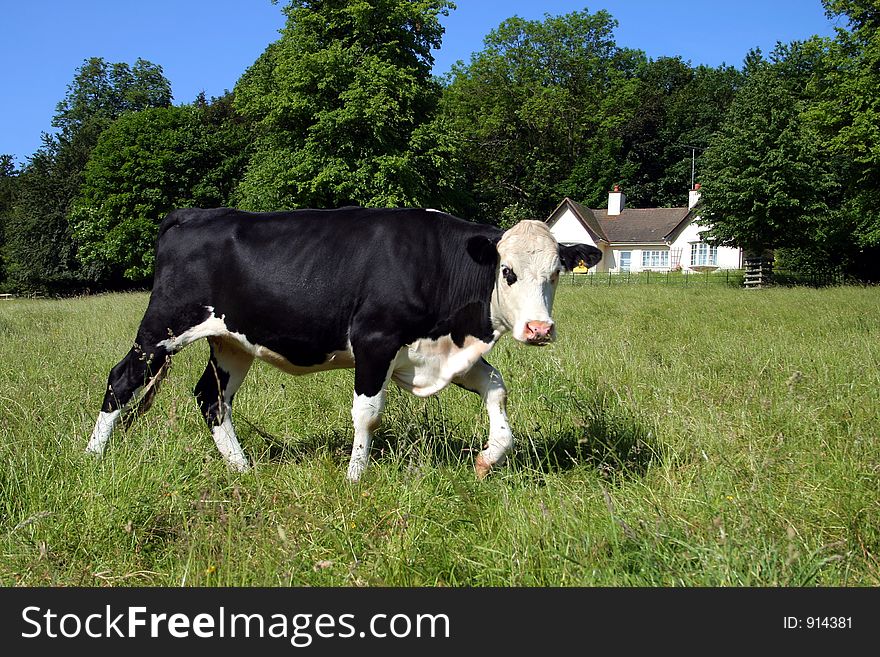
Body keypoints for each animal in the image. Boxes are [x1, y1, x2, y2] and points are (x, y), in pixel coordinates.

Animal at [86, 208, 600, 480]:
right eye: (507, 272)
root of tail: (193, 214)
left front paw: (489, 457)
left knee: (212, 397)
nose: (539, 329)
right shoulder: (374, 341)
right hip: (162, 327)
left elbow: (496, 387)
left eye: (556, 272)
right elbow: (367, 414)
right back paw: (93, 456)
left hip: (230, 341)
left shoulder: (435, 351)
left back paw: (243, 468)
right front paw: (355, 477)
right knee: (121, 380)